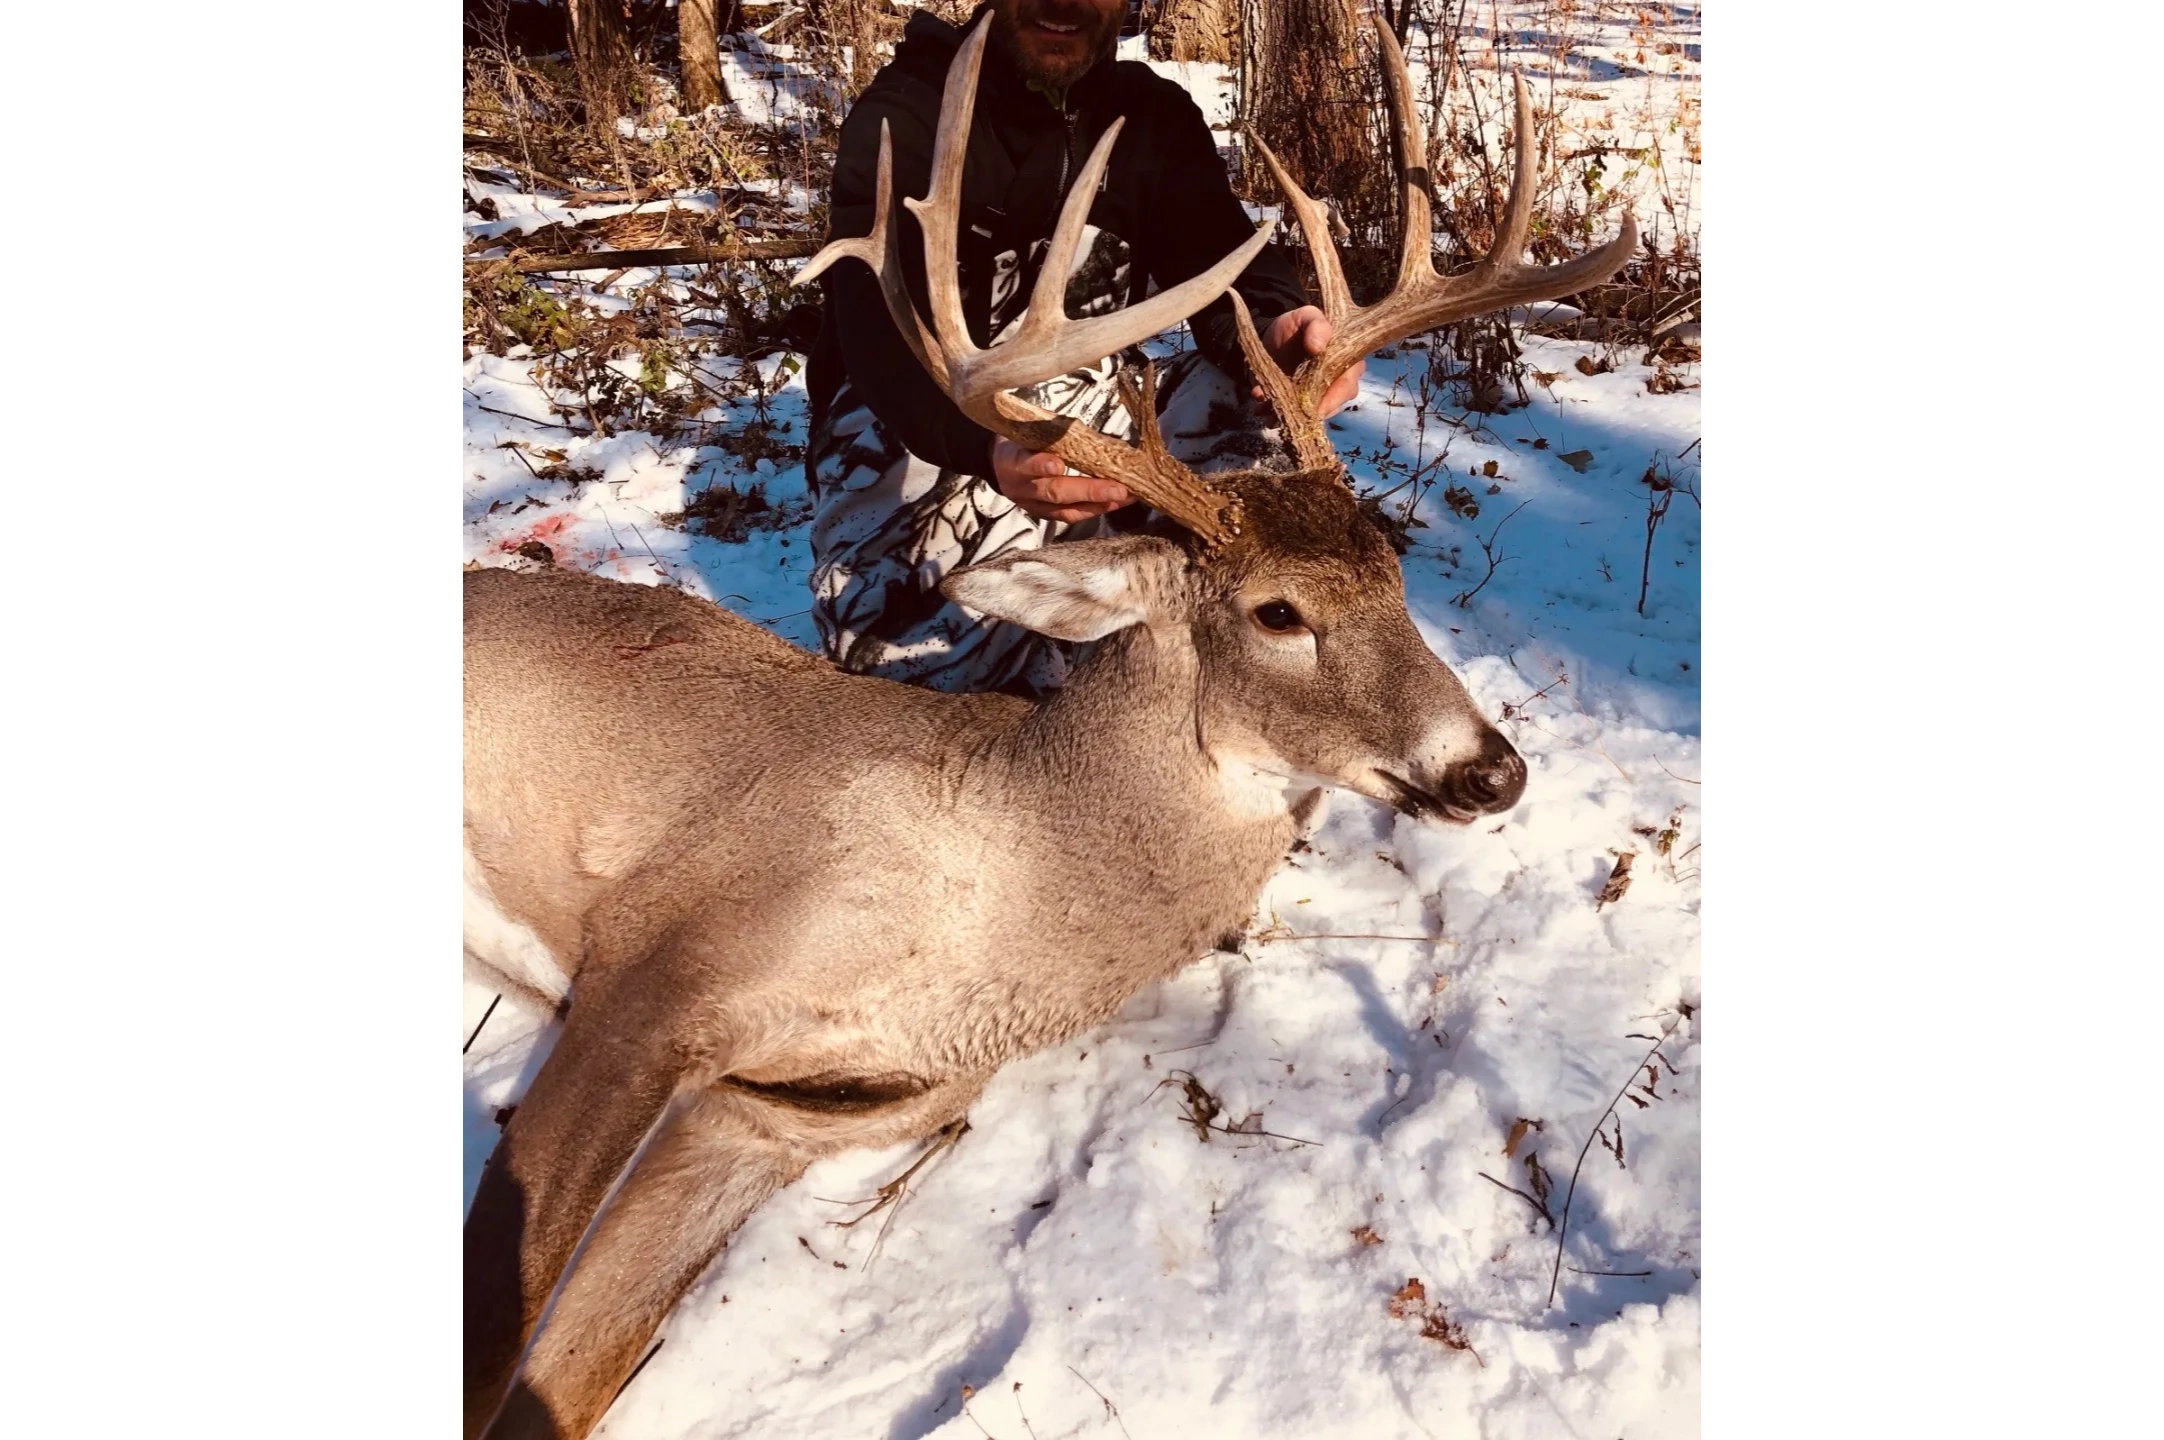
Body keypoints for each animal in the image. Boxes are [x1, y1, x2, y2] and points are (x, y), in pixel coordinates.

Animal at [456, 14, 1634, 1438]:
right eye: (1278, 612)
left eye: (1393, 568)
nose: (1491, 769)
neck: (984, 905)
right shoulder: (653, 970)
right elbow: (491, 1328)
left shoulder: (783, 1114)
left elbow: (563, 1382)